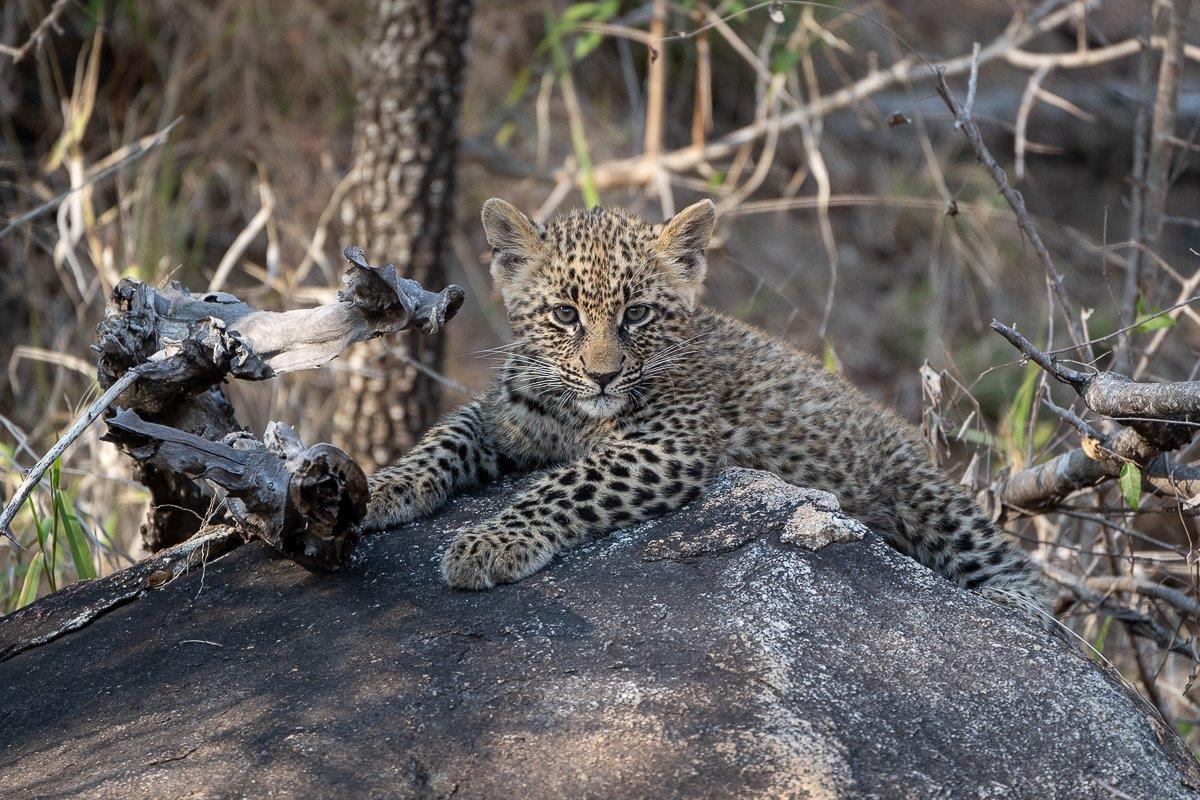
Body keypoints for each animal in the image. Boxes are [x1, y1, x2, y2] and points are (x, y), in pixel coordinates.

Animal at [363, 197, 1049, 611]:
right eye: (564, 315)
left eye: (637, 314)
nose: (604, 377)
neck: (577, 415)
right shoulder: (503, 413)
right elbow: (441, 438)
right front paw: (378, 491)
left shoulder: (668, 445)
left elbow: (564, 485)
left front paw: (489, 542)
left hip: (929, 498)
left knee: (1017, 575)